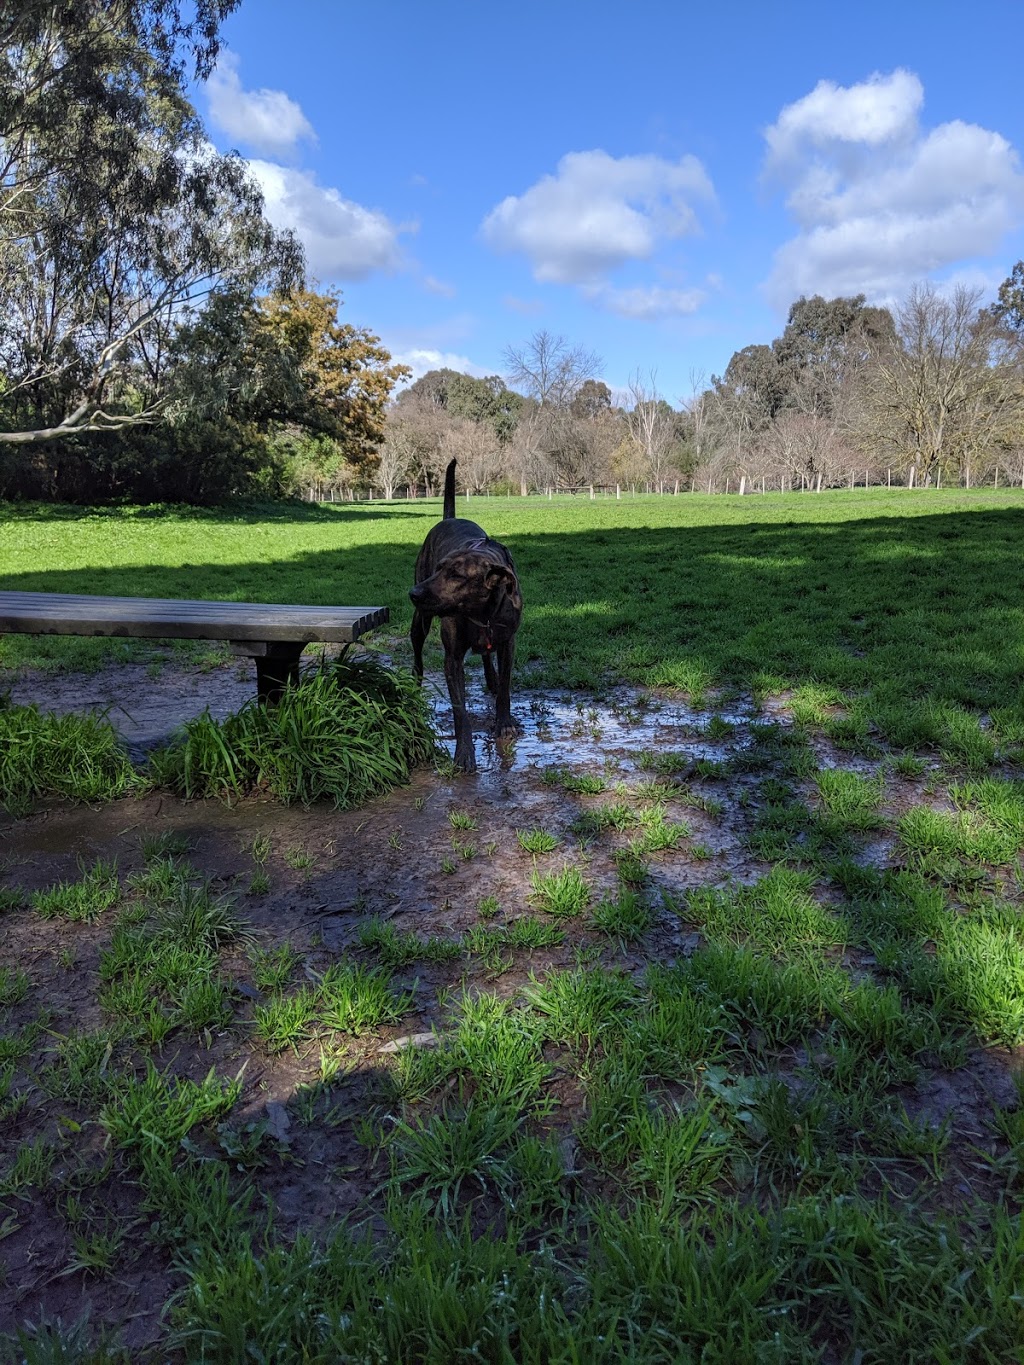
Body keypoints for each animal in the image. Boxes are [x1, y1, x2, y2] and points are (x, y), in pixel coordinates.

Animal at [409, 461, 524, 775]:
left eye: (457, 575)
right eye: (439, 568)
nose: (414, 593)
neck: (480, 611)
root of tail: (449, 518)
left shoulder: (508, 641)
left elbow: (505, 687)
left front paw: (504, 723)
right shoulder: (452, 657)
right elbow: (459, 708)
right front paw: (463, 753)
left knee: (488, 658)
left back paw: (491, 678)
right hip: (420, 621)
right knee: (417, 654)